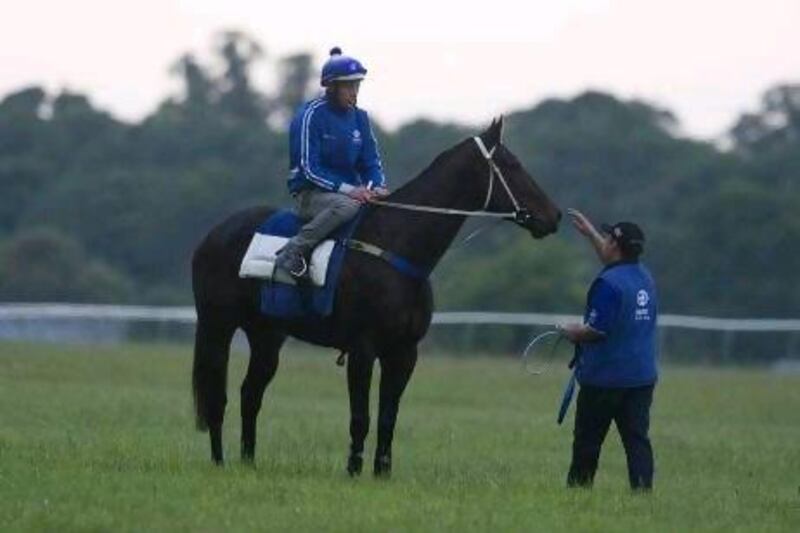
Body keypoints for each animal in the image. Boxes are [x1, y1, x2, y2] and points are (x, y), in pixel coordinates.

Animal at [192, 116, 564, 474]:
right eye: (512, 164)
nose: (554, 216)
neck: (394, 247)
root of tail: (214, 234)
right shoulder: (363, 349)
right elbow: (361, 417)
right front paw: (354, 469)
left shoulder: (404, 352)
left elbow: (388, 417)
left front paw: (382, 472)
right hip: (217, 327)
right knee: (217, 396)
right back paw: (219, 462)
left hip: (267, 336)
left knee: (250, 394)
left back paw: (248, 462)